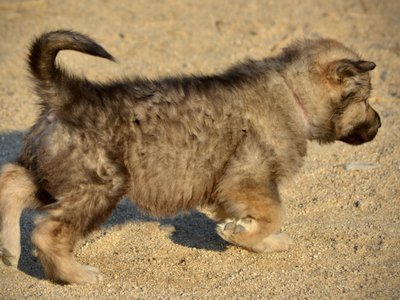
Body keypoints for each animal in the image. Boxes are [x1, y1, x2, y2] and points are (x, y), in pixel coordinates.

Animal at [0, 30, 382, 284]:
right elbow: (275, 213)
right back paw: (76, 274)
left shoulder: (230, 189)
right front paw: (242, 234)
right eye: (364, 99)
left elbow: (258, 218)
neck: (292, 93)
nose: (380, 125)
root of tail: (68, 95)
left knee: (11, 181)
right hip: (98, 186)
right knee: (46, 232)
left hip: (57, 175)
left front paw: (256, 238)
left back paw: (9, 249)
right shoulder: (248, 178)